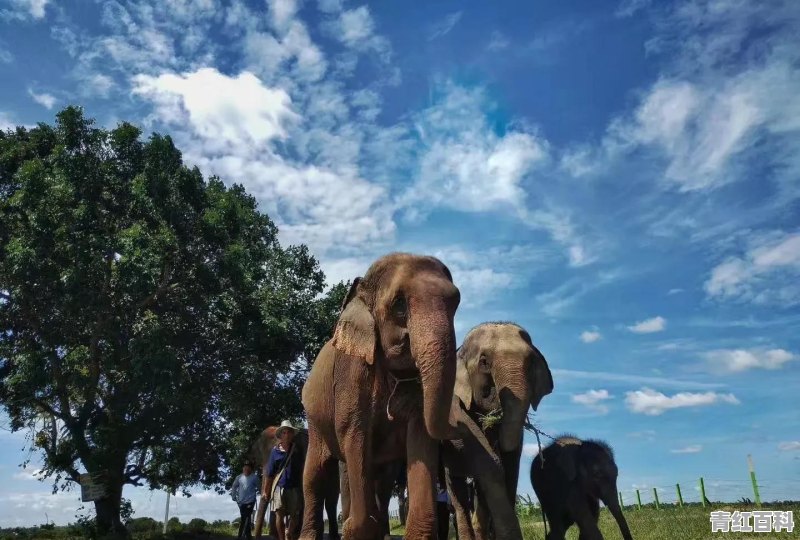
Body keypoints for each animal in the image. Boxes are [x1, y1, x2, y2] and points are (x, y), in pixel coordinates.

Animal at [300, 253, 462, 540]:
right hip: (314, 419)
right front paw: (356, 530)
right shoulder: (350, 373)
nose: (460, 426)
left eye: (456, 302)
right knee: (314, 475)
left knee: (381, 479)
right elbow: (354, 434)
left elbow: (421, 435)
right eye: (399, 305)